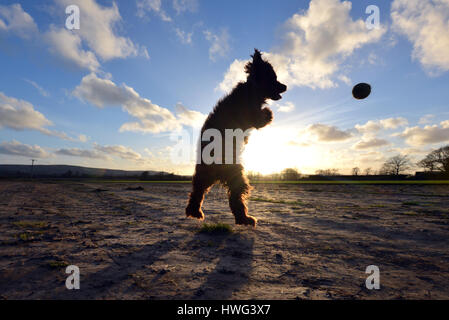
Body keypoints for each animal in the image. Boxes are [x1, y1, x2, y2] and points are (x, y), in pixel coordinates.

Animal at [186, 48, 288, 226]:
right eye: (273, 78)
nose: (285, 86)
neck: (252, 90)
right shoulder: (250, 115)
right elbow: (261, 117)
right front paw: (268, 113)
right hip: (229, 174)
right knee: (228, 196)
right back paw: (243, 218)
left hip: (213, 176)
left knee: (201, 192)